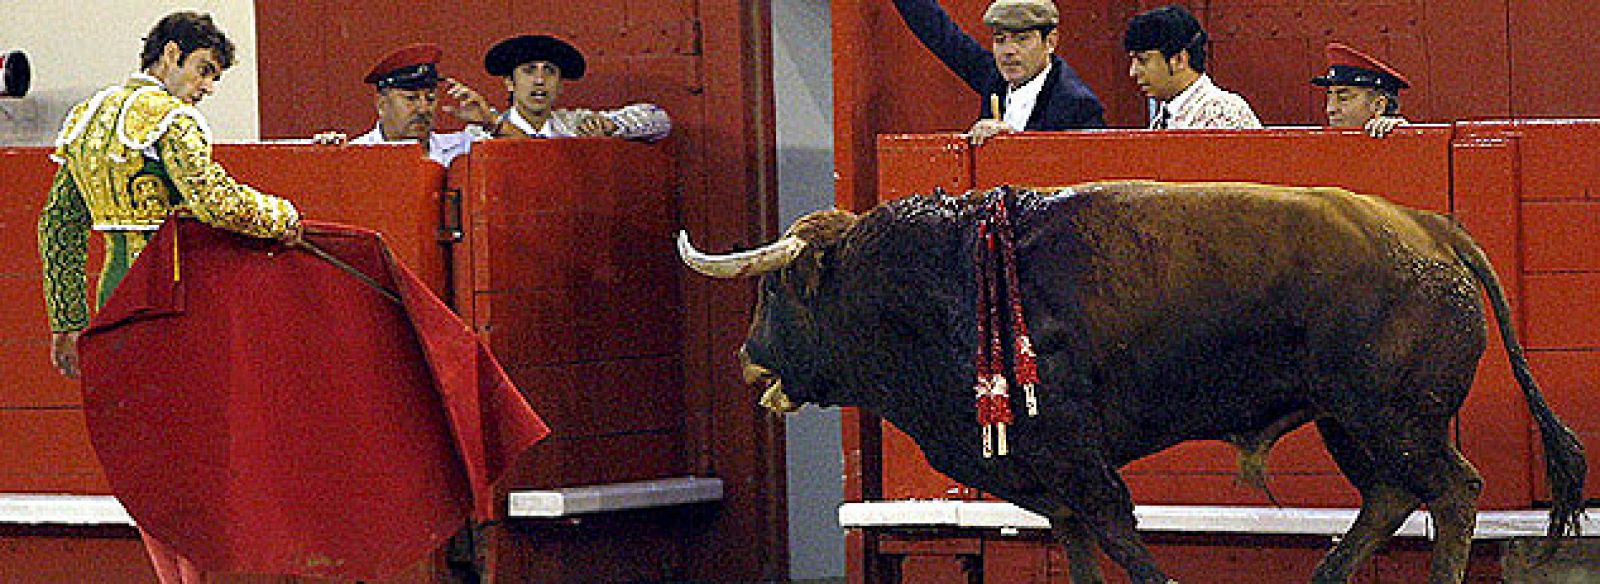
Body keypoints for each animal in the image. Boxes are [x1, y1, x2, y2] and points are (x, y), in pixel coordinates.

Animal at [678, 180, 1587, 579]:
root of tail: (1431, 227)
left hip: (1396, 416)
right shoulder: (1044, 479)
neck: (938, 279)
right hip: (1349, 422)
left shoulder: (1078, 461)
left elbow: (1120, 538)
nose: (747, 356)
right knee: (1394, 497)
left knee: (1455, 492)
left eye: (774, 291)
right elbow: (1081, 544)